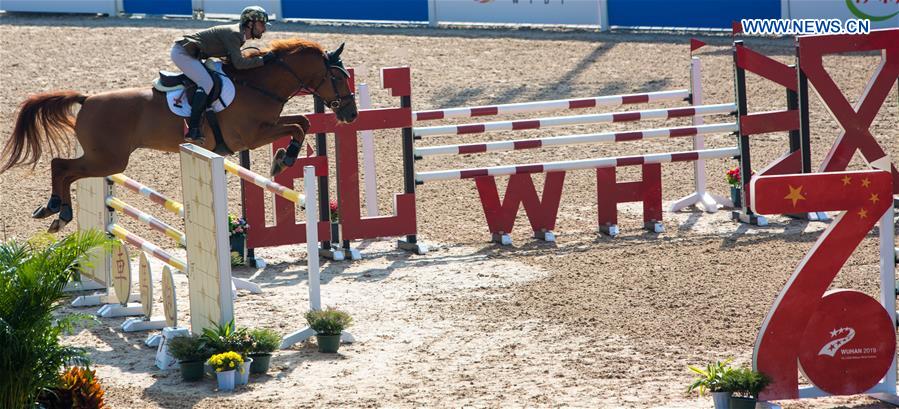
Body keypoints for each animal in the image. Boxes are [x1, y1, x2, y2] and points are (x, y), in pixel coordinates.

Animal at [0, 39, 358, 234]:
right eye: (339, 78)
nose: (351, 114)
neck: (258, 84)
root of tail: (87, 99)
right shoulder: (250, 136)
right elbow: (297, 126)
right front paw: (282, 161)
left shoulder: (267, 125)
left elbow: (302, 122)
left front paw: (283, 159)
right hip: (108, 160)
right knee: (62, 167)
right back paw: (56, 211)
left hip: (104, 159)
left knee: (65, 169)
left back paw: (56, 212)